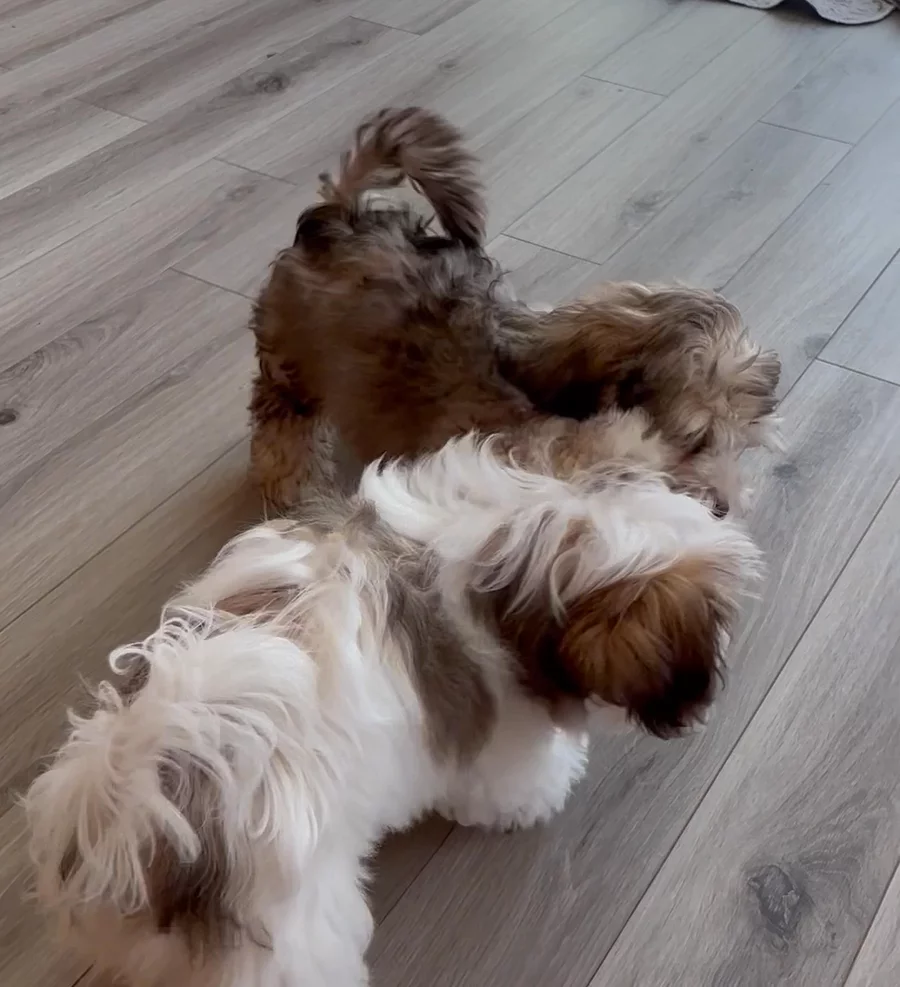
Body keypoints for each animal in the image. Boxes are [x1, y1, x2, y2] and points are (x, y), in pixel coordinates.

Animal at [25, 433, 762, 987]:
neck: (523, 543)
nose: (714, 684)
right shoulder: (502, 733)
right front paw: (540, 791)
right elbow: (512, 775)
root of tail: (136, 801)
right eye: (709, 631)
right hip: (287, 931)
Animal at [248, 106, 781, 514]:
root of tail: (340, 216)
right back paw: (292, 487)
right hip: (292, 358)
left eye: (743, 446)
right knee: (282, 422)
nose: (723, 508)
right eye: (694, 440)